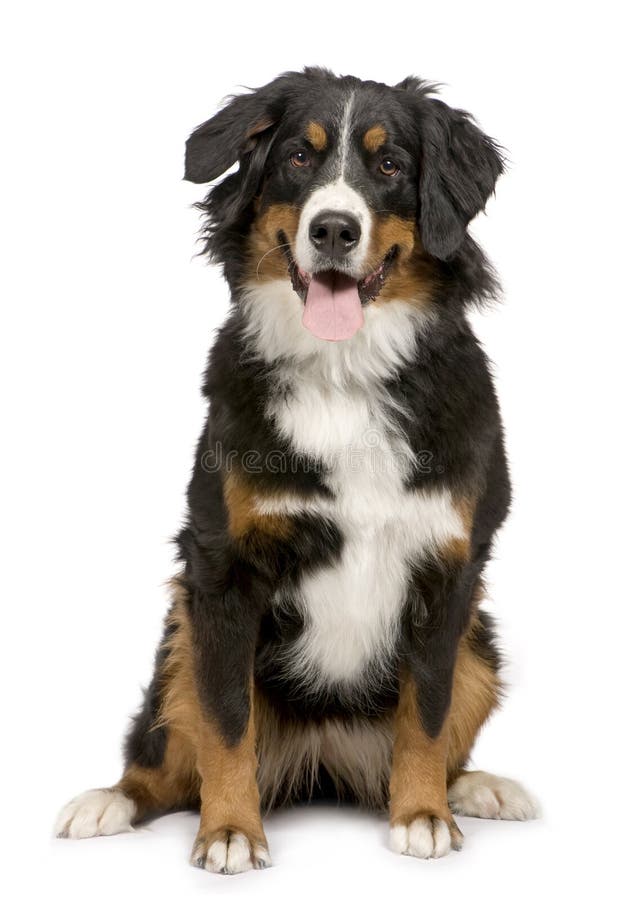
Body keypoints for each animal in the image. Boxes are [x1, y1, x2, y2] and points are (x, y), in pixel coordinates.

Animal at [55, 68, 540, 872]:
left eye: (389, 165)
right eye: (298, 158)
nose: (334, 230)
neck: (344, 375)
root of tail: (324, 759)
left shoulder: (450, 569)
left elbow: (428, 713)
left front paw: (423, 815)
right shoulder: (221, 569)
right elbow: (225, 722)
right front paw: (228, 831)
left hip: (481, 647)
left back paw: (476, 788)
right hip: (180, 634)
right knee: (162, 763)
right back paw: (108, 801)